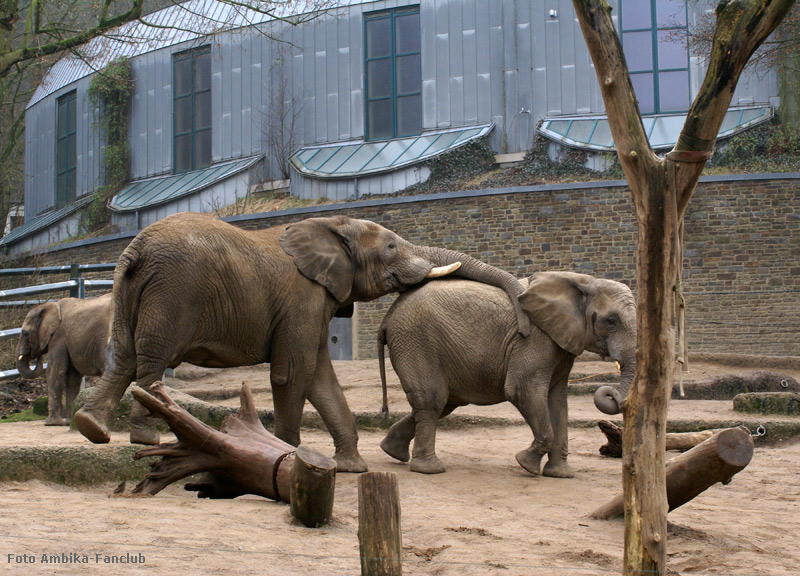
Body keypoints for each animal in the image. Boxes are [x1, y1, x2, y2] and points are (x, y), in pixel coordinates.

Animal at [15, 294, 111, 426]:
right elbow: (73, 378)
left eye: (25, 333)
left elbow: (54, 372)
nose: (36, 355)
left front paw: (51, 423)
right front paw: (69, 421)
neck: (51, 306)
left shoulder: (58, 337)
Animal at [72, 212, 528, 472]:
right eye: (391, 246)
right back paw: (145, 439)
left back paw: (92, 427)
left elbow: (321, 376)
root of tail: (134, 249)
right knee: (151, 358)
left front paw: (352, 468)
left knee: (123, 355)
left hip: (130, 289)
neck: (330, 227)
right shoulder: (302, 298)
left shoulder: (315, 303)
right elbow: (295, 373)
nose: (523, 326)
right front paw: (286, 450)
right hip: (171, 291)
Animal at [378, 272, 636, 474]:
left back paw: (392, 451)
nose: (610, 393)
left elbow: (558, 402)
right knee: (433, 400)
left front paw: (561, 475)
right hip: (415, 340)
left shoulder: (562, 346)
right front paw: (526, 464)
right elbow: (522, 390)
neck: (582, 281)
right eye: (611, 321)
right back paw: (430, 469)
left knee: (442, 403)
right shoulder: (534, 339)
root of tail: (388, 317)